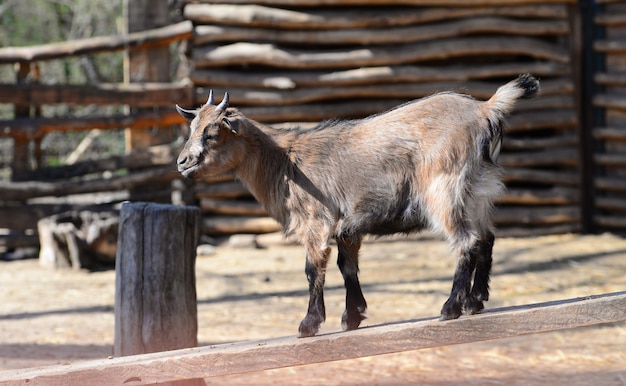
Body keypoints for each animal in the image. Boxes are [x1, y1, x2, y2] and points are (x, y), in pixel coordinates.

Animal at [174, 74, 536, 336]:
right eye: (192, 128)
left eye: (212, 133)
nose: (182, 162)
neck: (286, 160)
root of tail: (486, 109)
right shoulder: (348, 227)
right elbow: (347, 266)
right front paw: (353, 316)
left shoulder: (317, 223)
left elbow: (313, 269)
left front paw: (309, 324)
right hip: (479, 192)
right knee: (486, 239)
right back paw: (476, 301)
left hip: (444, 191)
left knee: (467, 241)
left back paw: (450, 307)